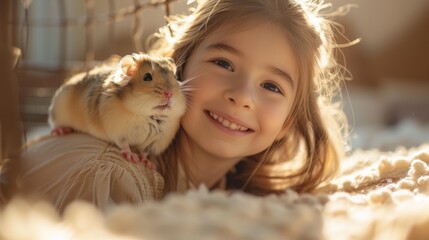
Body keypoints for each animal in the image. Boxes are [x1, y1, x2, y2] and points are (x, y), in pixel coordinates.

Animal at [48, 53, 186, 168]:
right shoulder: (119, 131)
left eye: (175, 76)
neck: (149, 114)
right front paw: (132, 158)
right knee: (54, 123)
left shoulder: (155, 142)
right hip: (58, 108)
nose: (170, 94)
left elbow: (145, 152)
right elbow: (124, 144)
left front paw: (148, 164)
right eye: (147, 77)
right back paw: (61, 131)